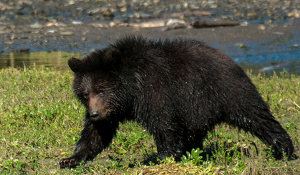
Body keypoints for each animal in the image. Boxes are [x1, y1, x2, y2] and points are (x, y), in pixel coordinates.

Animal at [59, 35, 294, 168]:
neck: (131, 90)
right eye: (84, 94)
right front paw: (70, 158)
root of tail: (229, 59)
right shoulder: (112, 111)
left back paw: (283, 149)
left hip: (227, 91)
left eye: (102, 89)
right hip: (198, 109)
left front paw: (158, 156)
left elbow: (164, 125)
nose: (94, 114)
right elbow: (96, 133)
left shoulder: (156, 92)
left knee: (256, 116)